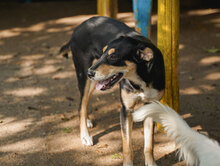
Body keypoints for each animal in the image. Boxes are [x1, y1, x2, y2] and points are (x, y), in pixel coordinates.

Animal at [60, 15, 165, 166]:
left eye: (113, 56)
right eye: (103, 52)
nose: (90, 72)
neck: (141, 79)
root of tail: (78, 27)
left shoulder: (151, 107)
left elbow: (149, 144)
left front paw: (151, 163)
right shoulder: (125, 110)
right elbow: (127, 147)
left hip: (94, 81)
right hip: (85, 78)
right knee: (82, 105)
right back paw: (85, 135)